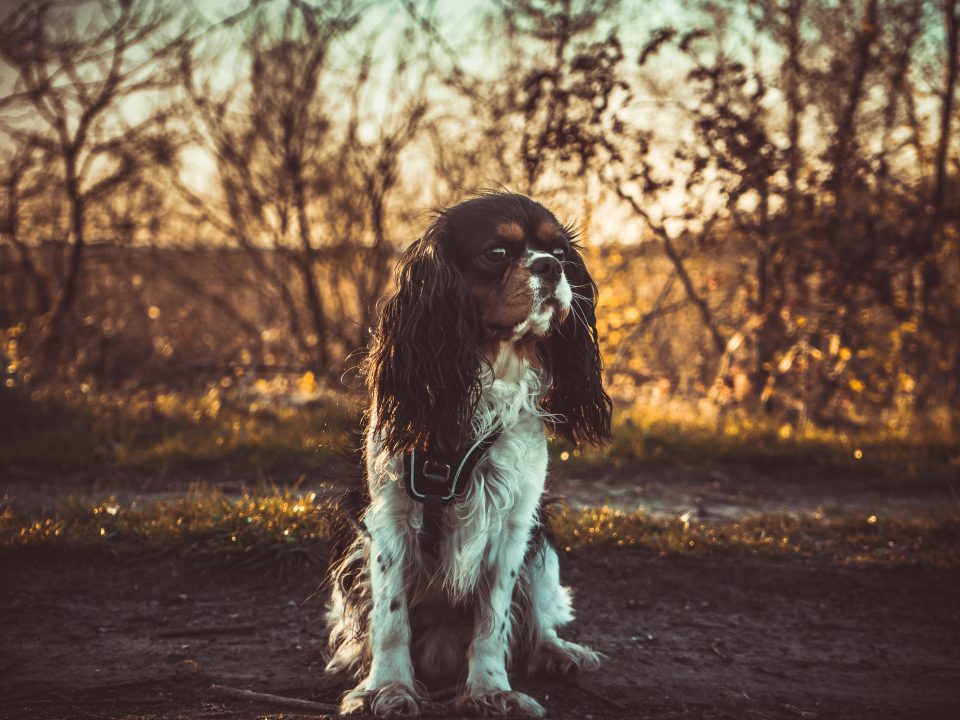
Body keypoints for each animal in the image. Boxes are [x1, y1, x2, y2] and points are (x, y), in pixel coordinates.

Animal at [322, 193, 608, 720]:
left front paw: (490, 689)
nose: (550, 266)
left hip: (543, 546)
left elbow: (493, 620)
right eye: (496, 252)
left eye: (560, 251)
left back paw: (559, 650)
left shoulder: (515, 522)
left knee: (536, 617)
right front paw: (387, 689)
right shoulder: (390, 517)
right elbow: (390, 618)